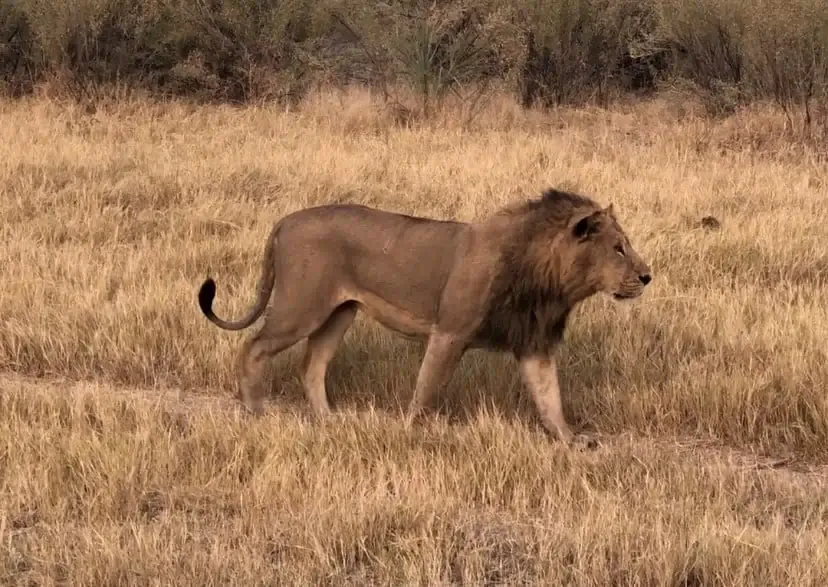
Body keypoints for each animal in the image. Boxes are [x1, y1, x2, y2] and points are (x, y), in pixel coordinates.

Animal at [197, 187, 652, 447]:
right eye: (618, 248)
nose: (648, 276)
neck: (547, 278)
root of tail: (284, 221)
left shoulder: (534, 343)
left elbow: (550, 398)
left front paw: (571, 441)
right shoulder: (450, 331)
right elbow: (427, 386)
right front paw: (412, 432)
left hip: (338, 314)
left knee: (312, 365)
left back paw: (329, 420)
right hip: (301, 306)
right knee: (254, 347)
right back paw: (254, 409)